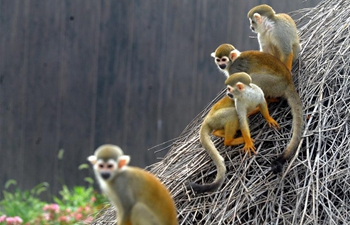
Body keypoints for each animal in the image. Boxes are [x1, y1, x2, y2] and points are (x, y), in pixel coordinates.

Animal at [211, 44, 304, 174]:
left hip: (274, 84)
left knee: (252, 78)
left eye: (224, 60)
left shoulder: (235, 69)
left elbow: (240, 82)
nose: (221, 65)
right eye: (218, 60)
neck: (232, 62)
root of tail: (289, 81)